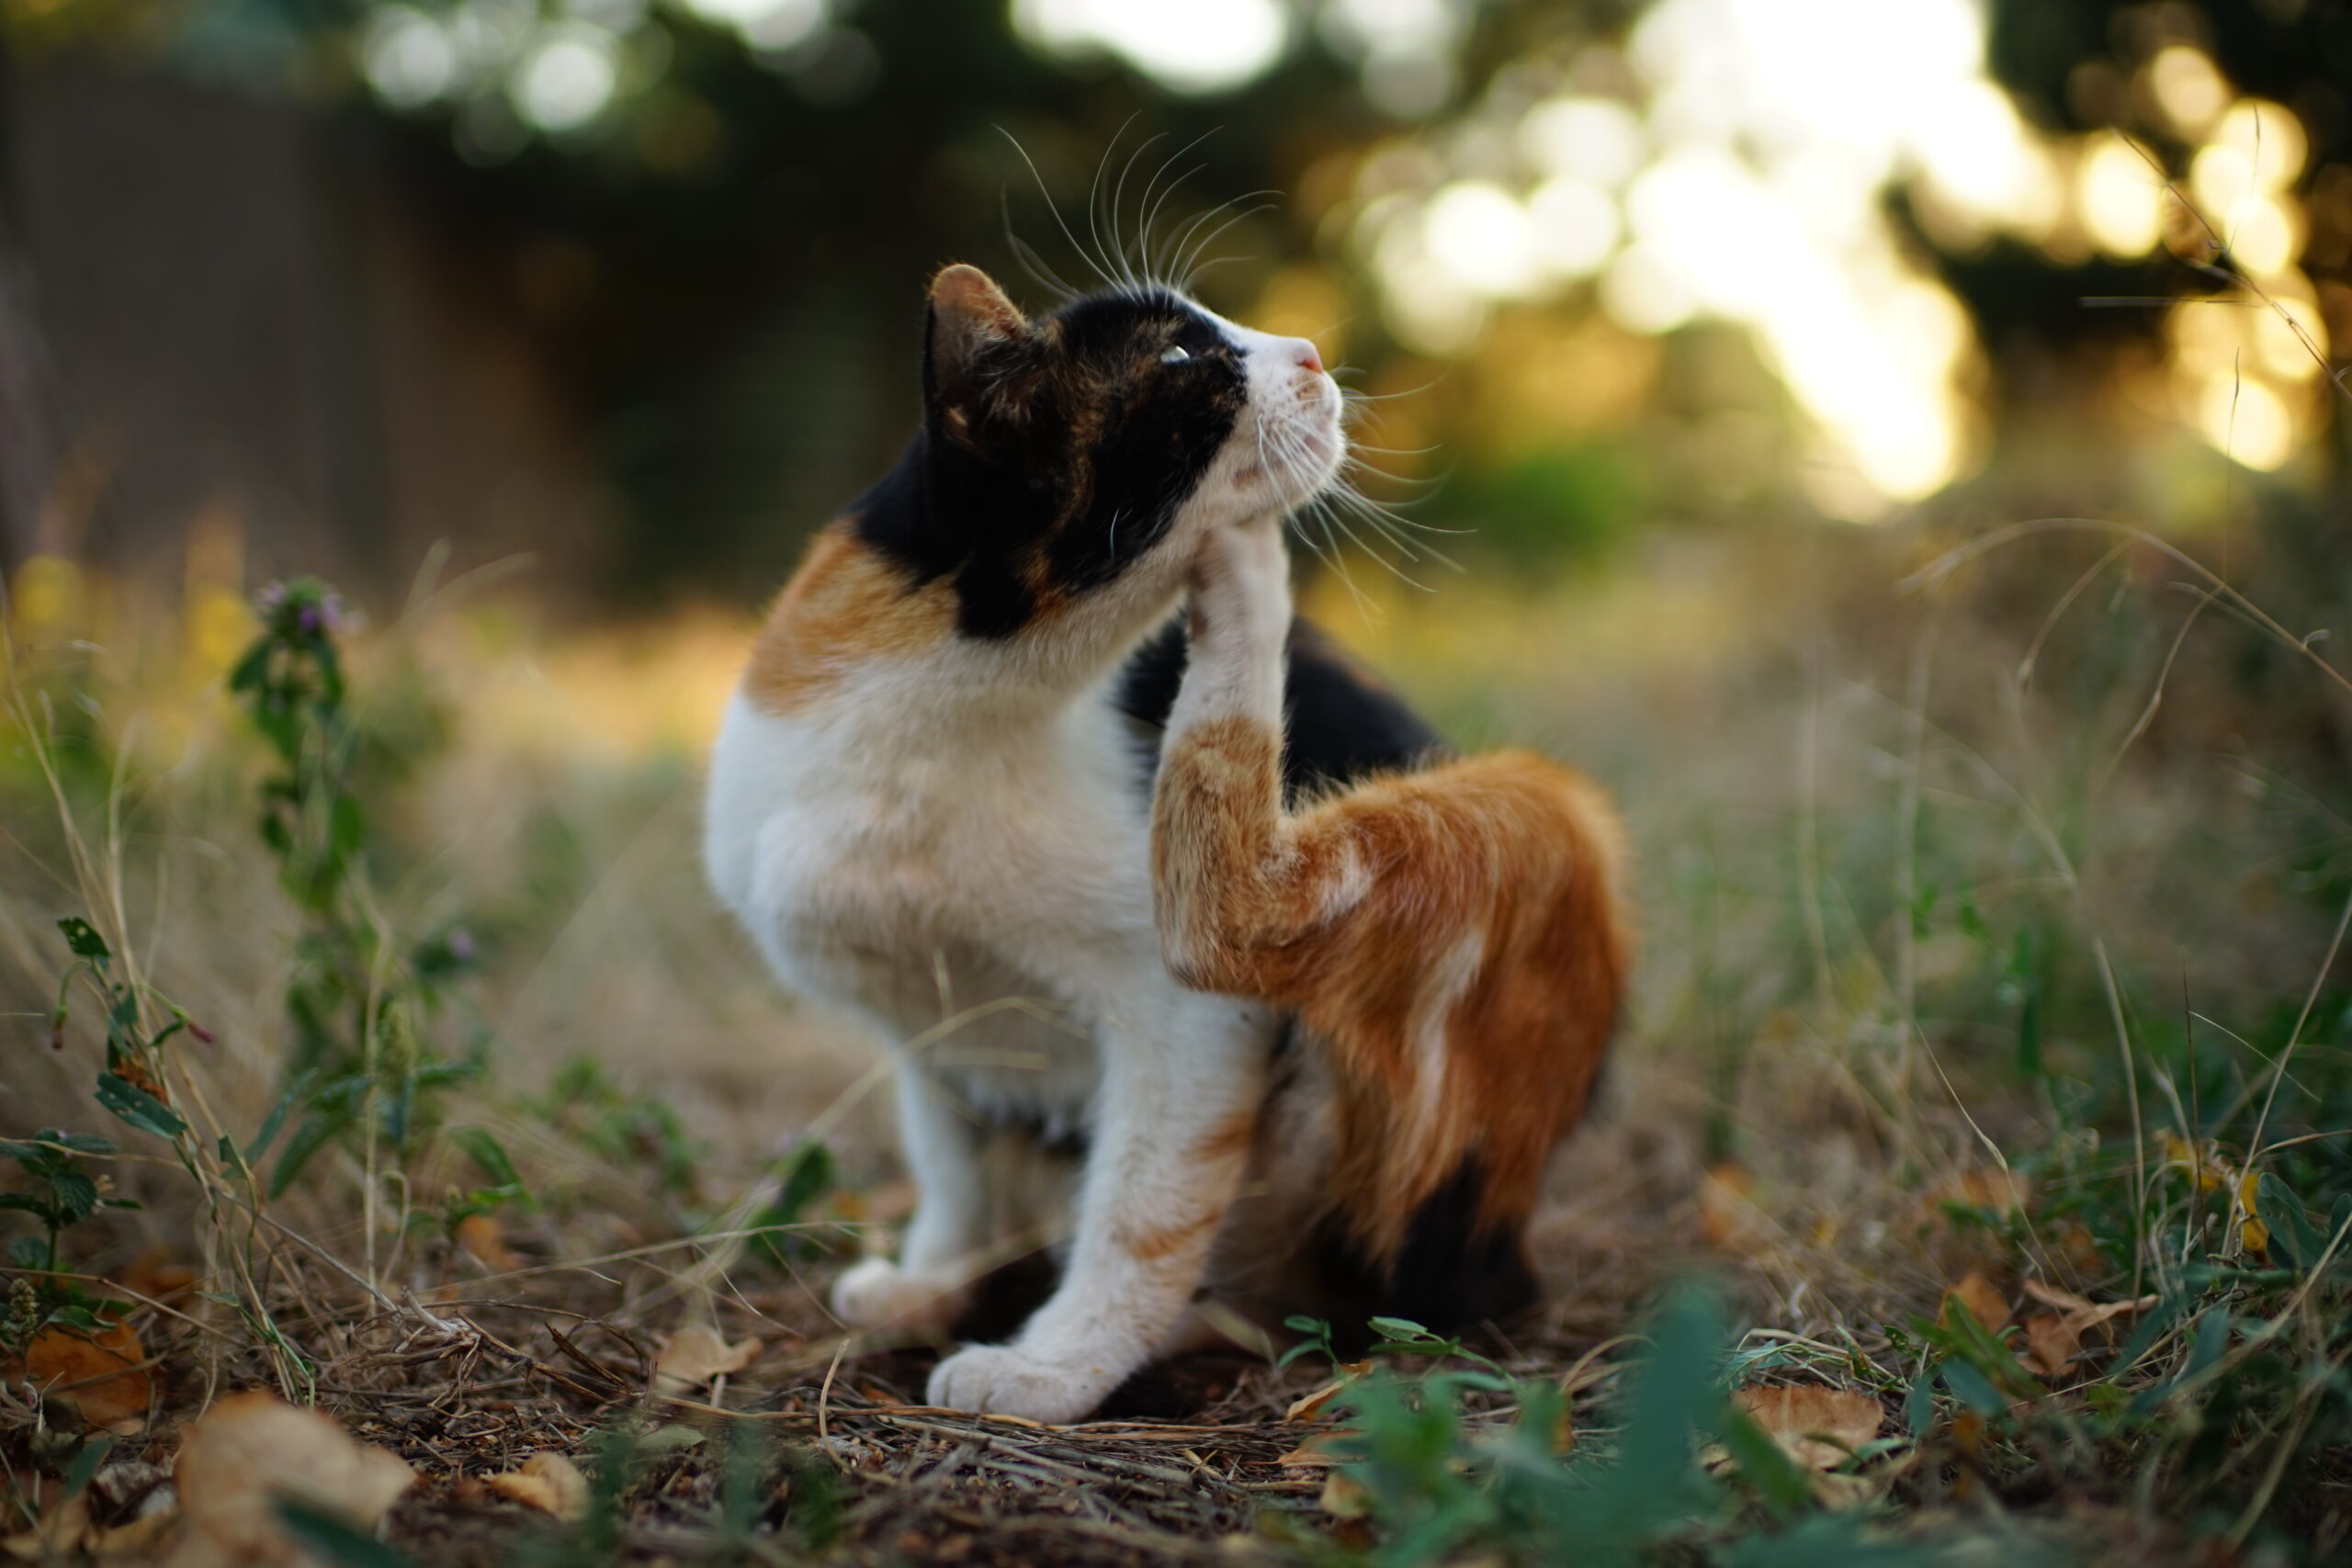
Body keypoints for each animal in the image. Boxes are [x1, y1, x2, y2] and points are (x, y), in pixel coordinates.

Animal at [700, 261, 1636, 1419]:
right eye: (1181, 355)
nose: (1310, 351)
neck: (935, 728)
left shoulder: (1186, 1024)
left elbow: (1142, 1210)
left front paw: (1052, 1368)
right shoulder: (927, 1032)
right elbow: (952, 1166)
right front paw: (935, 1277)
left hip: (1528, 828)